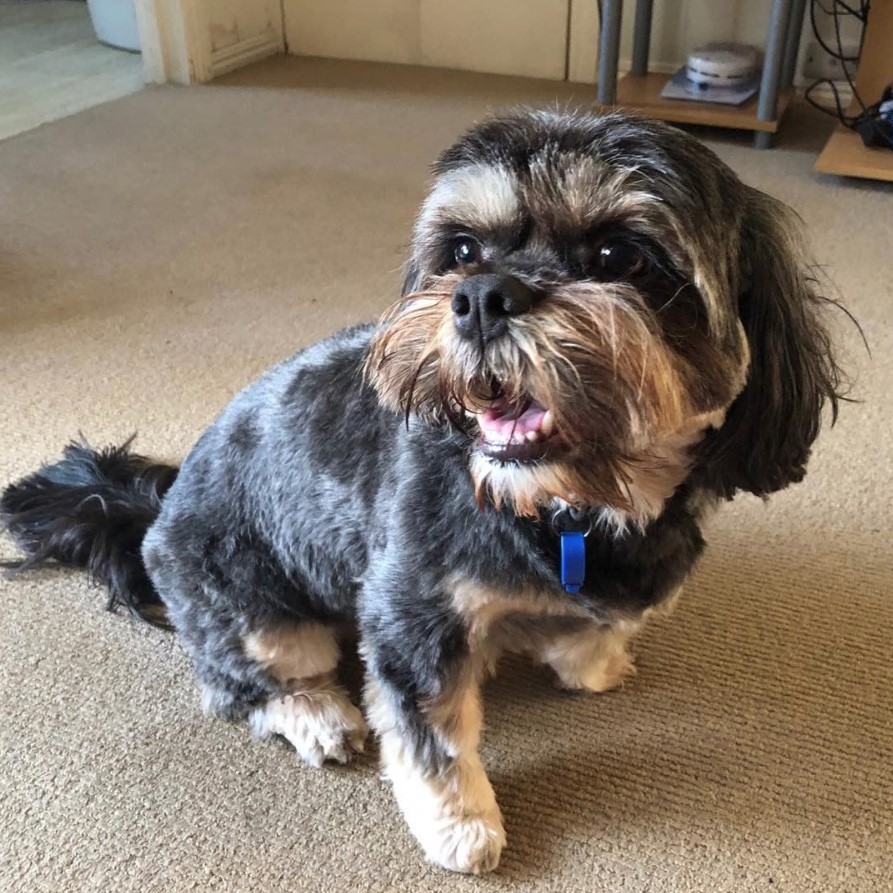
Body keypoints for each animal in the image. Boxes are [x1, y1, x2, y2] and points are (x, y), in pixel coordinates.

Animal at [0, 110, 844, 872]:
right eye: (463, 250)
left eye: (617, 254)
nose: (480, 295)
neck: (565, 509)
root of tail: (153, 517)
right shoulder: (411, 609)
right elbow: (430, 737)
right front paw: (462, 827)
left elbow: (592, 631)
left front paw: (595, 661)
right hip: (252, 606)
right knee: (241, 681)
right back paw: (315, 713)